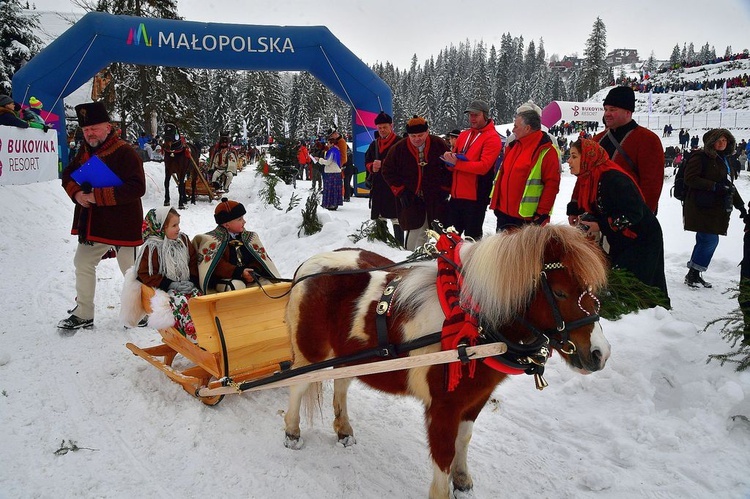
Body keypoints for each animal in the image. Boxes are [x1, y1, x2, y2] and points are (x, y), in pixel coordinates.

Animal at [284, 226, 612, 499]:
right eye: (560, 292)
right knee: (297, 387)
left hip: (350, 355)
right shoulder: (443, 407)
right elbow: (443, 453)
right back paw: (292, 432)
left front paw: (463, 479)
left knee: (341, 383)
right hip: (309, 353)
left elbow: (463, 439)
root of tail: (307, 267)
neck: (474, 326)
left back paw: (343, 430)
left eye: (596, 291)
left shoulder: (476, 400)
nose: (600, 354)